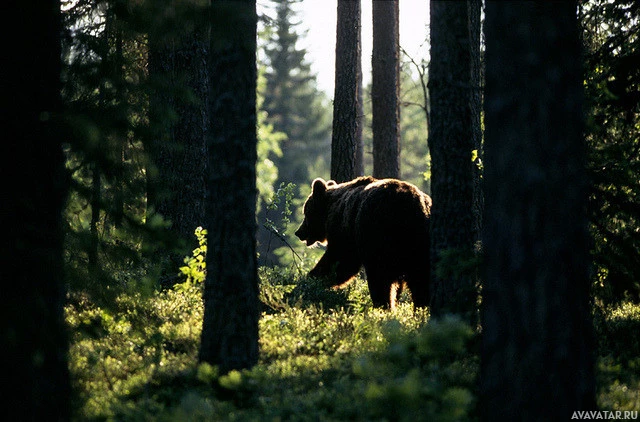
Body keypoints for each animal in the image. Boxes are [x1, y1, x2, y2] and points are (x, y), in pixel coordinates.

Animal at [294, 176, 432, 310]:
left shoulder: (345, 231)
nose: (299, 232)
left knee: (379, 276)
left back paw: (382, 304)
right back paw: (421, 308)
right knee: (420, 279)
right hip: (418, 242)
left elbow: (340, 261)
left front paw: (311, 278)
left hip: (377, 231)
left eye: (305, 212)